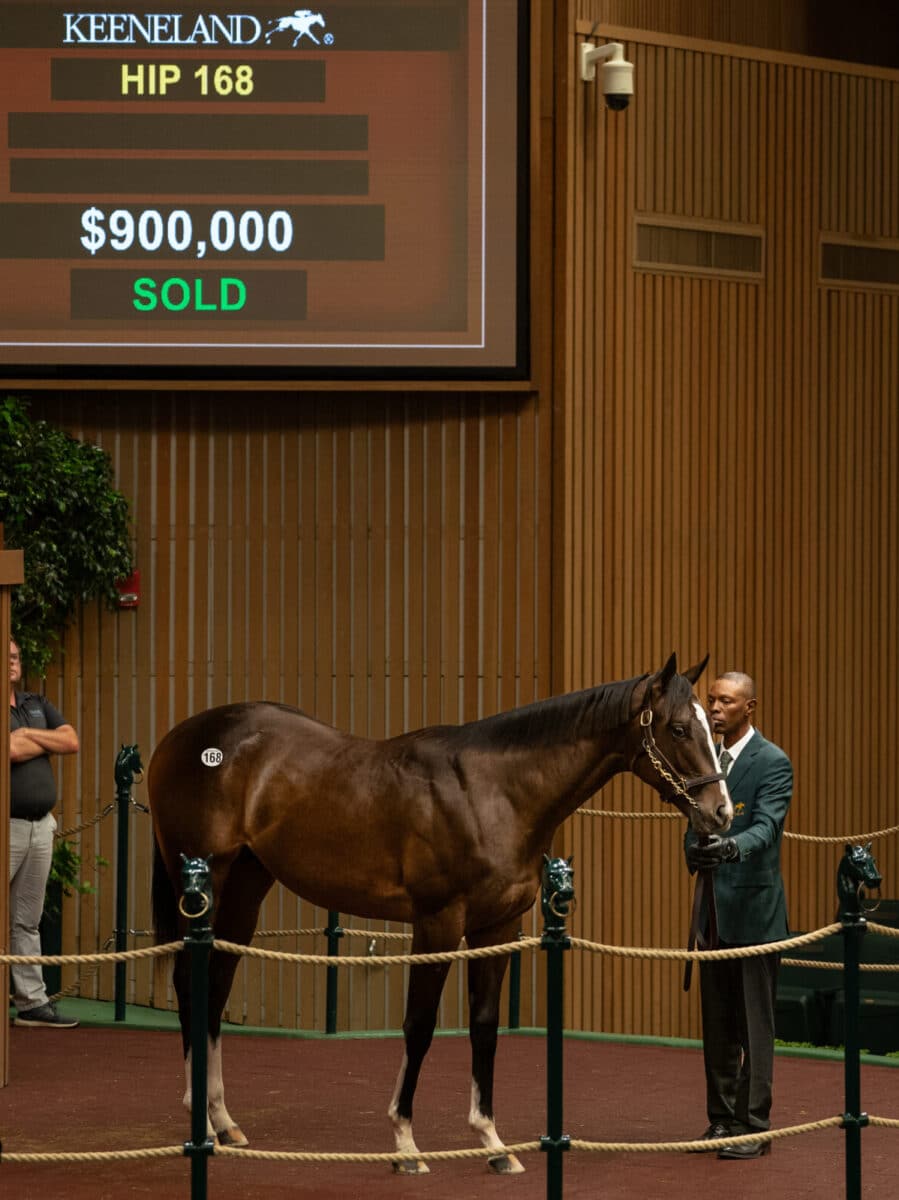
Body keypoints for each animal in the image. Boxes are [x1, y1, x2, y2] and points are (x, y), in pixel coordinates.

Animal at [147, 657, 729, 1171]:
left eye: (710, 728)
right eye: (679, 728)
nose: (721, 813)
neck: (492, 792)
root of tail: (178, 737)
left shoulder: (498, 927)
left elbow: (485, 1025)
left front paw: (493, 1143)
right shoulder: (438, 923)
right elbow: (420, 1025)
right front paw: (406, 1143)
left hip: (247, 887)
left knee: (215, 986)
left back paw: (223, 1120)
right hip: (204, 883)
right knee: (189, 982)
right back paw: (201, 1122)